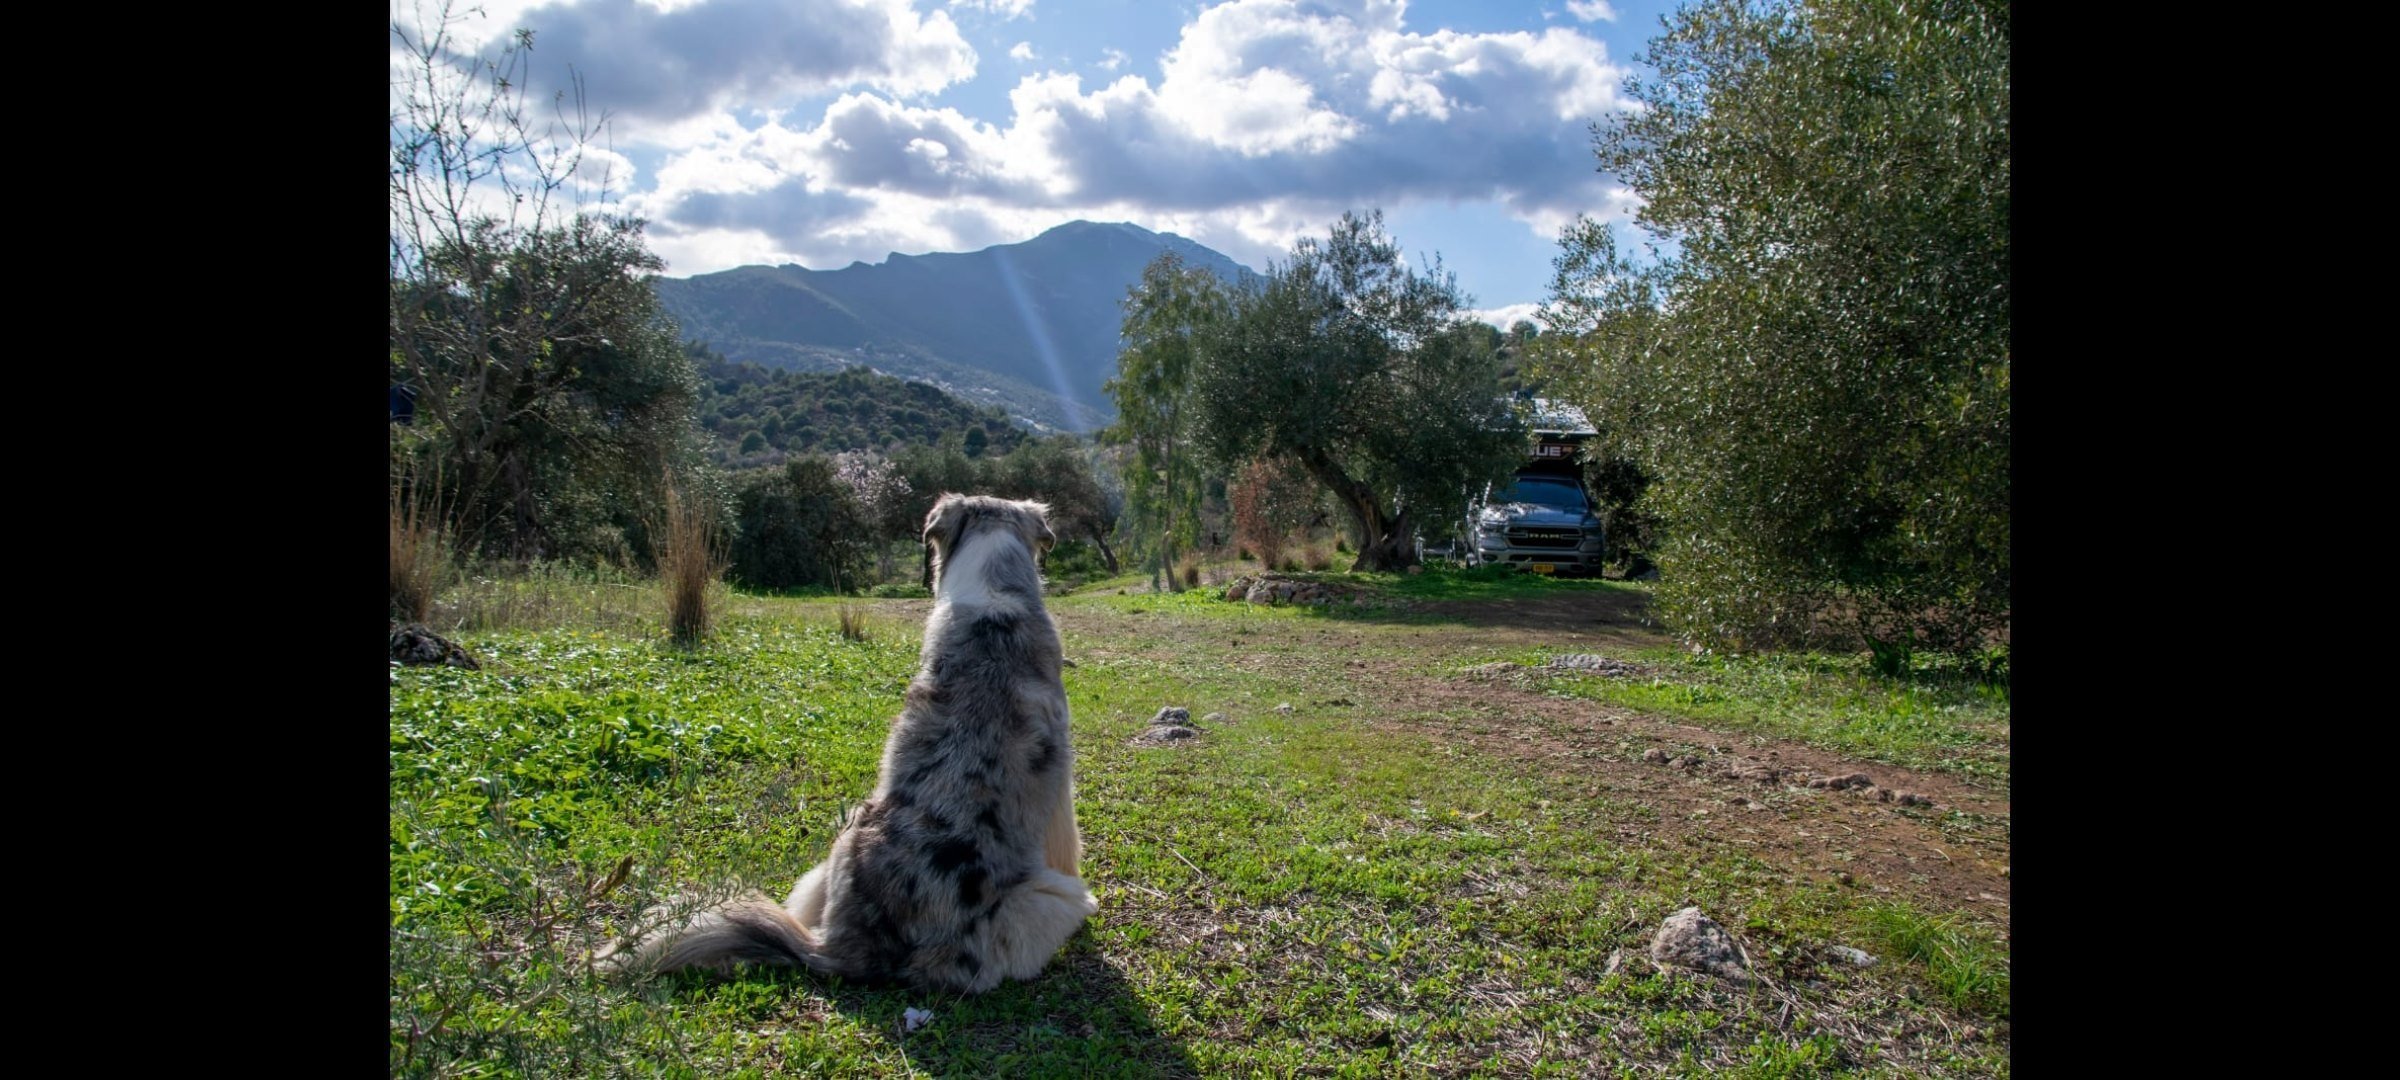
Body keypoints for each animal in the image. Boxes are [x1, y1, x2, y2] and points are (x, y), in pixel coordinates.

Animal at [619, 494, 1104, 993]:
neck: (993, 592)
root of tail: (839, 950)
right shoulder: (1061, 789)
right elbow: (1067, 841)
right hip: (1049, 899)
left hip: (843, 833)